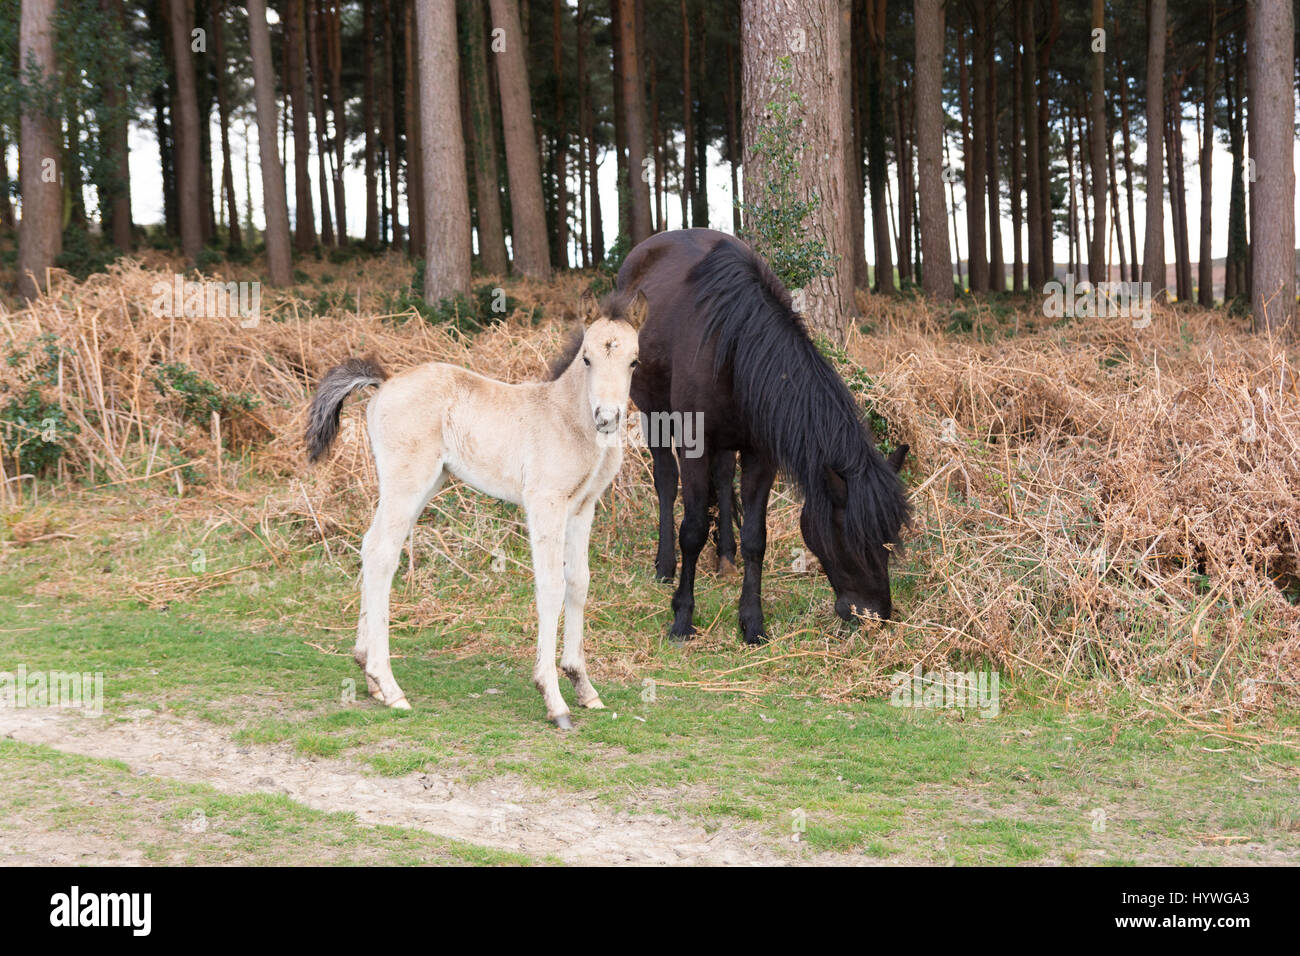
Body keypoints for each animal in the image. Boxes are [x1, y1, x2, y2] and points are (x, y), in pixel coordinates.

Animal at [309, 291, 644, 723]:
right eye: (586, 358)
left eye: (634, 361)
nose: (607, 417)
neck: (567, 419)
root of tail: (386, 383)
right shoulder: (545, 503)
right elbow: (551, 585)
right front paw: (554, 699)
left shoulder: (582, 507)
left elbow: (579, 582)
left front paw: (583, 686)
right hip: (408, 482)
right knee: (382, 553)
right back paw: (389, 685)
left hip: (427, 484)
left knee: (371, 546)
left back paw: (370, 677)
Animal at [616, 231, 904, 642]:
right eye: (852, 540)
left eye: (888, 538)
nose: (876, 615)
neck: (734, 346)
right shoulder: (694, 445)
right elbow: (692, 529)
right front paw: (682, 617)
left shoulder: (760, 455)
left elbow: (756, 536)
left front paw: (752, 622)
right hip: (650, 411)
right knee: (666, 481)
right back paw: (665, 565)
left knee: (722, 479)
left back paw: (725, 555)